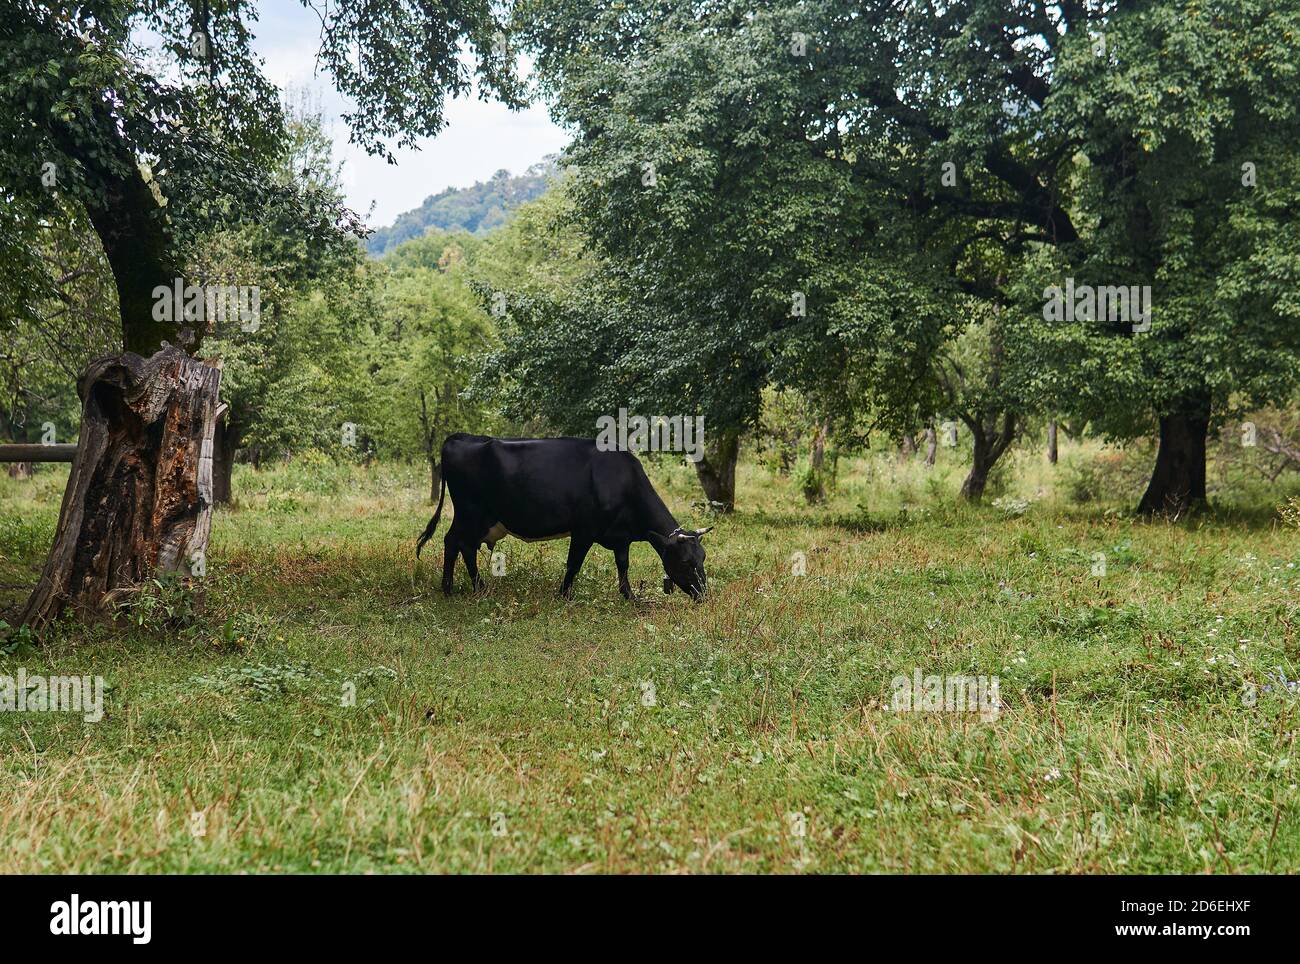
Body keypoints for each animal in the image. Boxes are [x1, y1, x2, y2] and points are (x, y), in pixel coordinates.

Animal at [415, 434, 712, 600]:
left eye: (703, 558)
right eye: (685, 562)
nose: (704, 596)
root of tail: (459, 437)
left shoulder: (620, 536)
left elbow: (623, 564)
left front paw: (629, 595)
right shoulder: (584, 530)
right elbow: (574, 564)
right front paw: (564, 595)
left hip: (475, 518)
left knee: (457, 543)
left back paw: (457, 587)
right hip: (471, 512)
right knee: (458, 543)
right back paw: (466, 588)